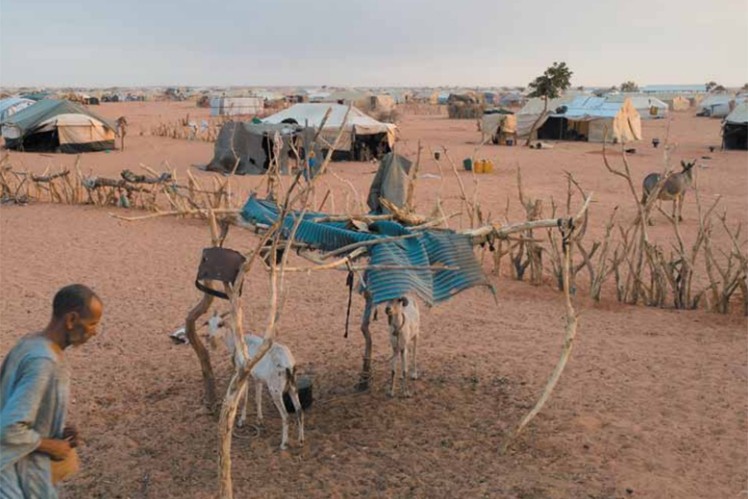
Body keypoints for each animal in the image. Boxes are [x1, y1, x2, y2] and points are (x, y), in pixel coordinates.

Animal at [207, 312, 304, 450]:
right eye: (208, 323)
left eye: (220, 324)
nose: (209, 336)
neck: (237, 344)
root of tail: (288, 365)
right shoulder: (258, 379)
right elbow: (258, 398)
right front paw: (259, 420)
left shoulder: (244, 374)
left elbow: (245, 398)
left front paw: (241, 421)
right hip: (293, 387)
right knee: (299, 410)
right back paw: (301, 440)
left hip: (275, 390)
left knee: (285, 416)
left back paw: (283, 444)